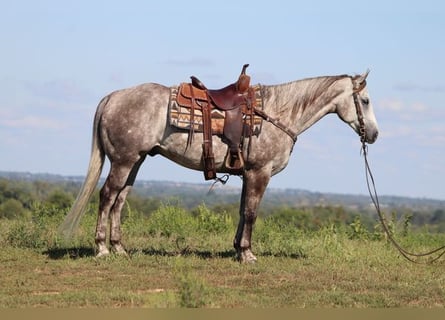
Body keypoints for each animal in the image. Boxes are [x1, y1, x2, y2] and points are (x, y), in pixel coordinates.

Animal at [59, 68, 378, 262]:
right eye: (365, 100)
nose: (374, 134)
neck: (277, 113)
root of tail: (112, 97)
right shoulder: (260, 173)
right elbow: (251, 212)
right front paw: (248, 254)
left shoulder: (248, 174)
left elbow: (242, 210)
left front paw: (238, 249)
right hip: (123, 161)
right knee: (107, 196)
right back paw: (102, 248)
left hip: (134, 161)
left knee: (120, 200)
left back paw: (119, 248)